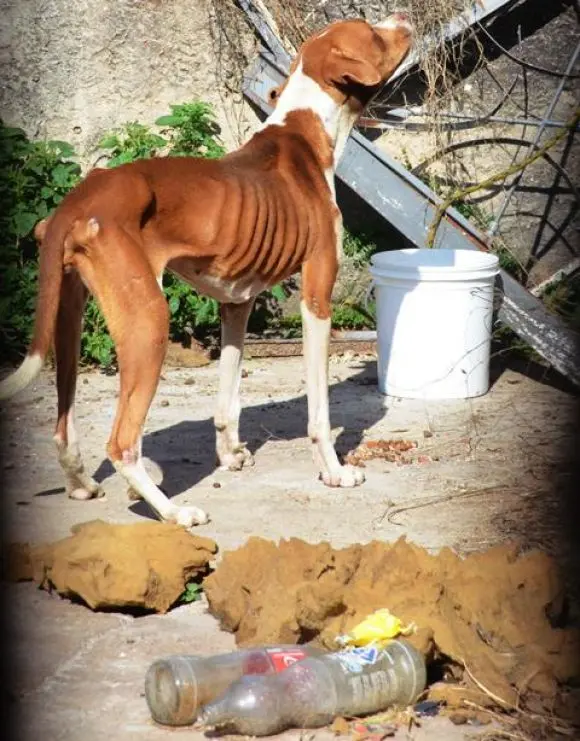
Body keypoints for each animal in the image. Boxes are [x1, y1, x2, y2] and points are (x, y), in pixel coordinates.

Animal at [2, 15, 414, 528]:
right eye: (373, 33)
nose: (404, 19)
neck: (305, 126)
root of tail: (77, 200)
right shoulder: (317, 296)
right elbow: (318, 411)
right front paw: (334, 473)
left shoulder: (236, 304)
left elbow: (227, 395)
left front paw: (230, 454)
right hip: (148, 323)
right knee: (121, 442)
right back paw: (172, 512)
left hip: (68, 320)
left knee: (64, 424)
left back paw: (81, 484)